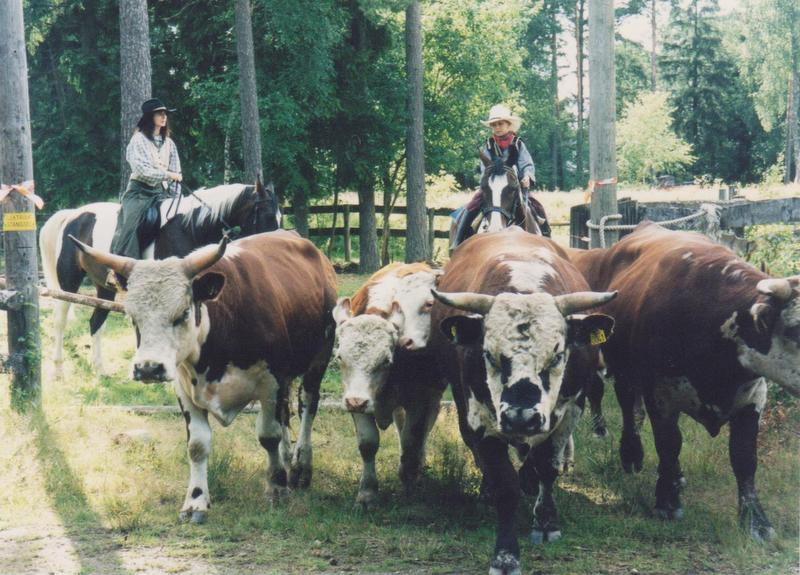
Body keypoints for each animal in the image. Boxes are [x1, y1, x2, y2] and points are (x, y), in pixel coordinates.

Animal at [39, 182, 282, 376]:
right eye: (268, 216)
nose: (275, 243)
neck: (189, 228)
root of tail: (72, 215)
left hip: (104, 288)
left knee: (95, 322)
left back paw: (100, 370)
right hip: (68, 284)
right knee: (60, 321)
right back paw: (58, 369)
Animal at [72, 232, 338, 524]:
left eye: (183, 313)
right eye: (133, 317)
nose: (148, 368)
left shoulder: (272, 381)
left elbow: (268, 435)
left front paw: (277, 488)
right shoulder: (184, 389)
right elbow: (197, 445)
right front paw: (196, 501)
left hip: (318, 360)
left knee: (307, 406)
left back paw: (301, 465)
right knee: (286, 413)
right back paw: (287, 456)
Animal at [330, 264, 446, 506]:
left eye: (386, 360)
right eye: (340, 357)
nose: (356, 402)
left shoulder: (418, 400)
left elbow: (412, 440)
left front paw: (409, 484)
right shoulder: (356, 397)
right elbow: (368, 443)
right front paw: (367, 493)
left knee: (423, 430)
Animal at [428, 228, 616, 575]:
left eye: (557, 355)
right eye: (489, 355)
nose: (521, 417)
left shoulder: (570, 409)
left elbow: (547, 465)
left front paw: (546, 521)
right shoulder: (480, 419)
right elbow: (505, 485)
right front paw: (505, 555)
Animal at [568, 223, 800, 544]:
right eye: (795, 329)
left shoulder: (753, 398)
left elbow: (744, 458)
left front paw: (756, 520)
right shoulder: (660, 394)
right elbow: (669, 444)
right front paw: (667, 501)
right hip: (625, 370)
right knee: (629, 408)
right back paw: (632, 455)